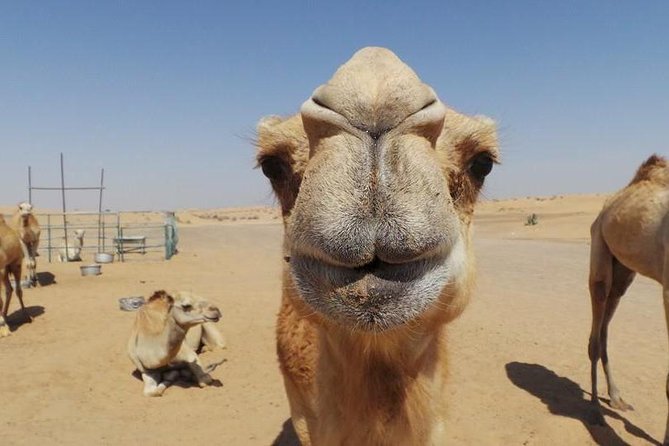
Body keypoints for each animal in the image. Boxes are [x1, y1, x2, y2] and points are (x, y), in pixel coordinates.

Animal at [588, 154, 669, 443]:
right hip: (599, 242)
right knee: (595, 335)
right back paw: (595, 411)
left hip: (624, 271)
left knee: (605, 329)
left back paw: (616, 397)